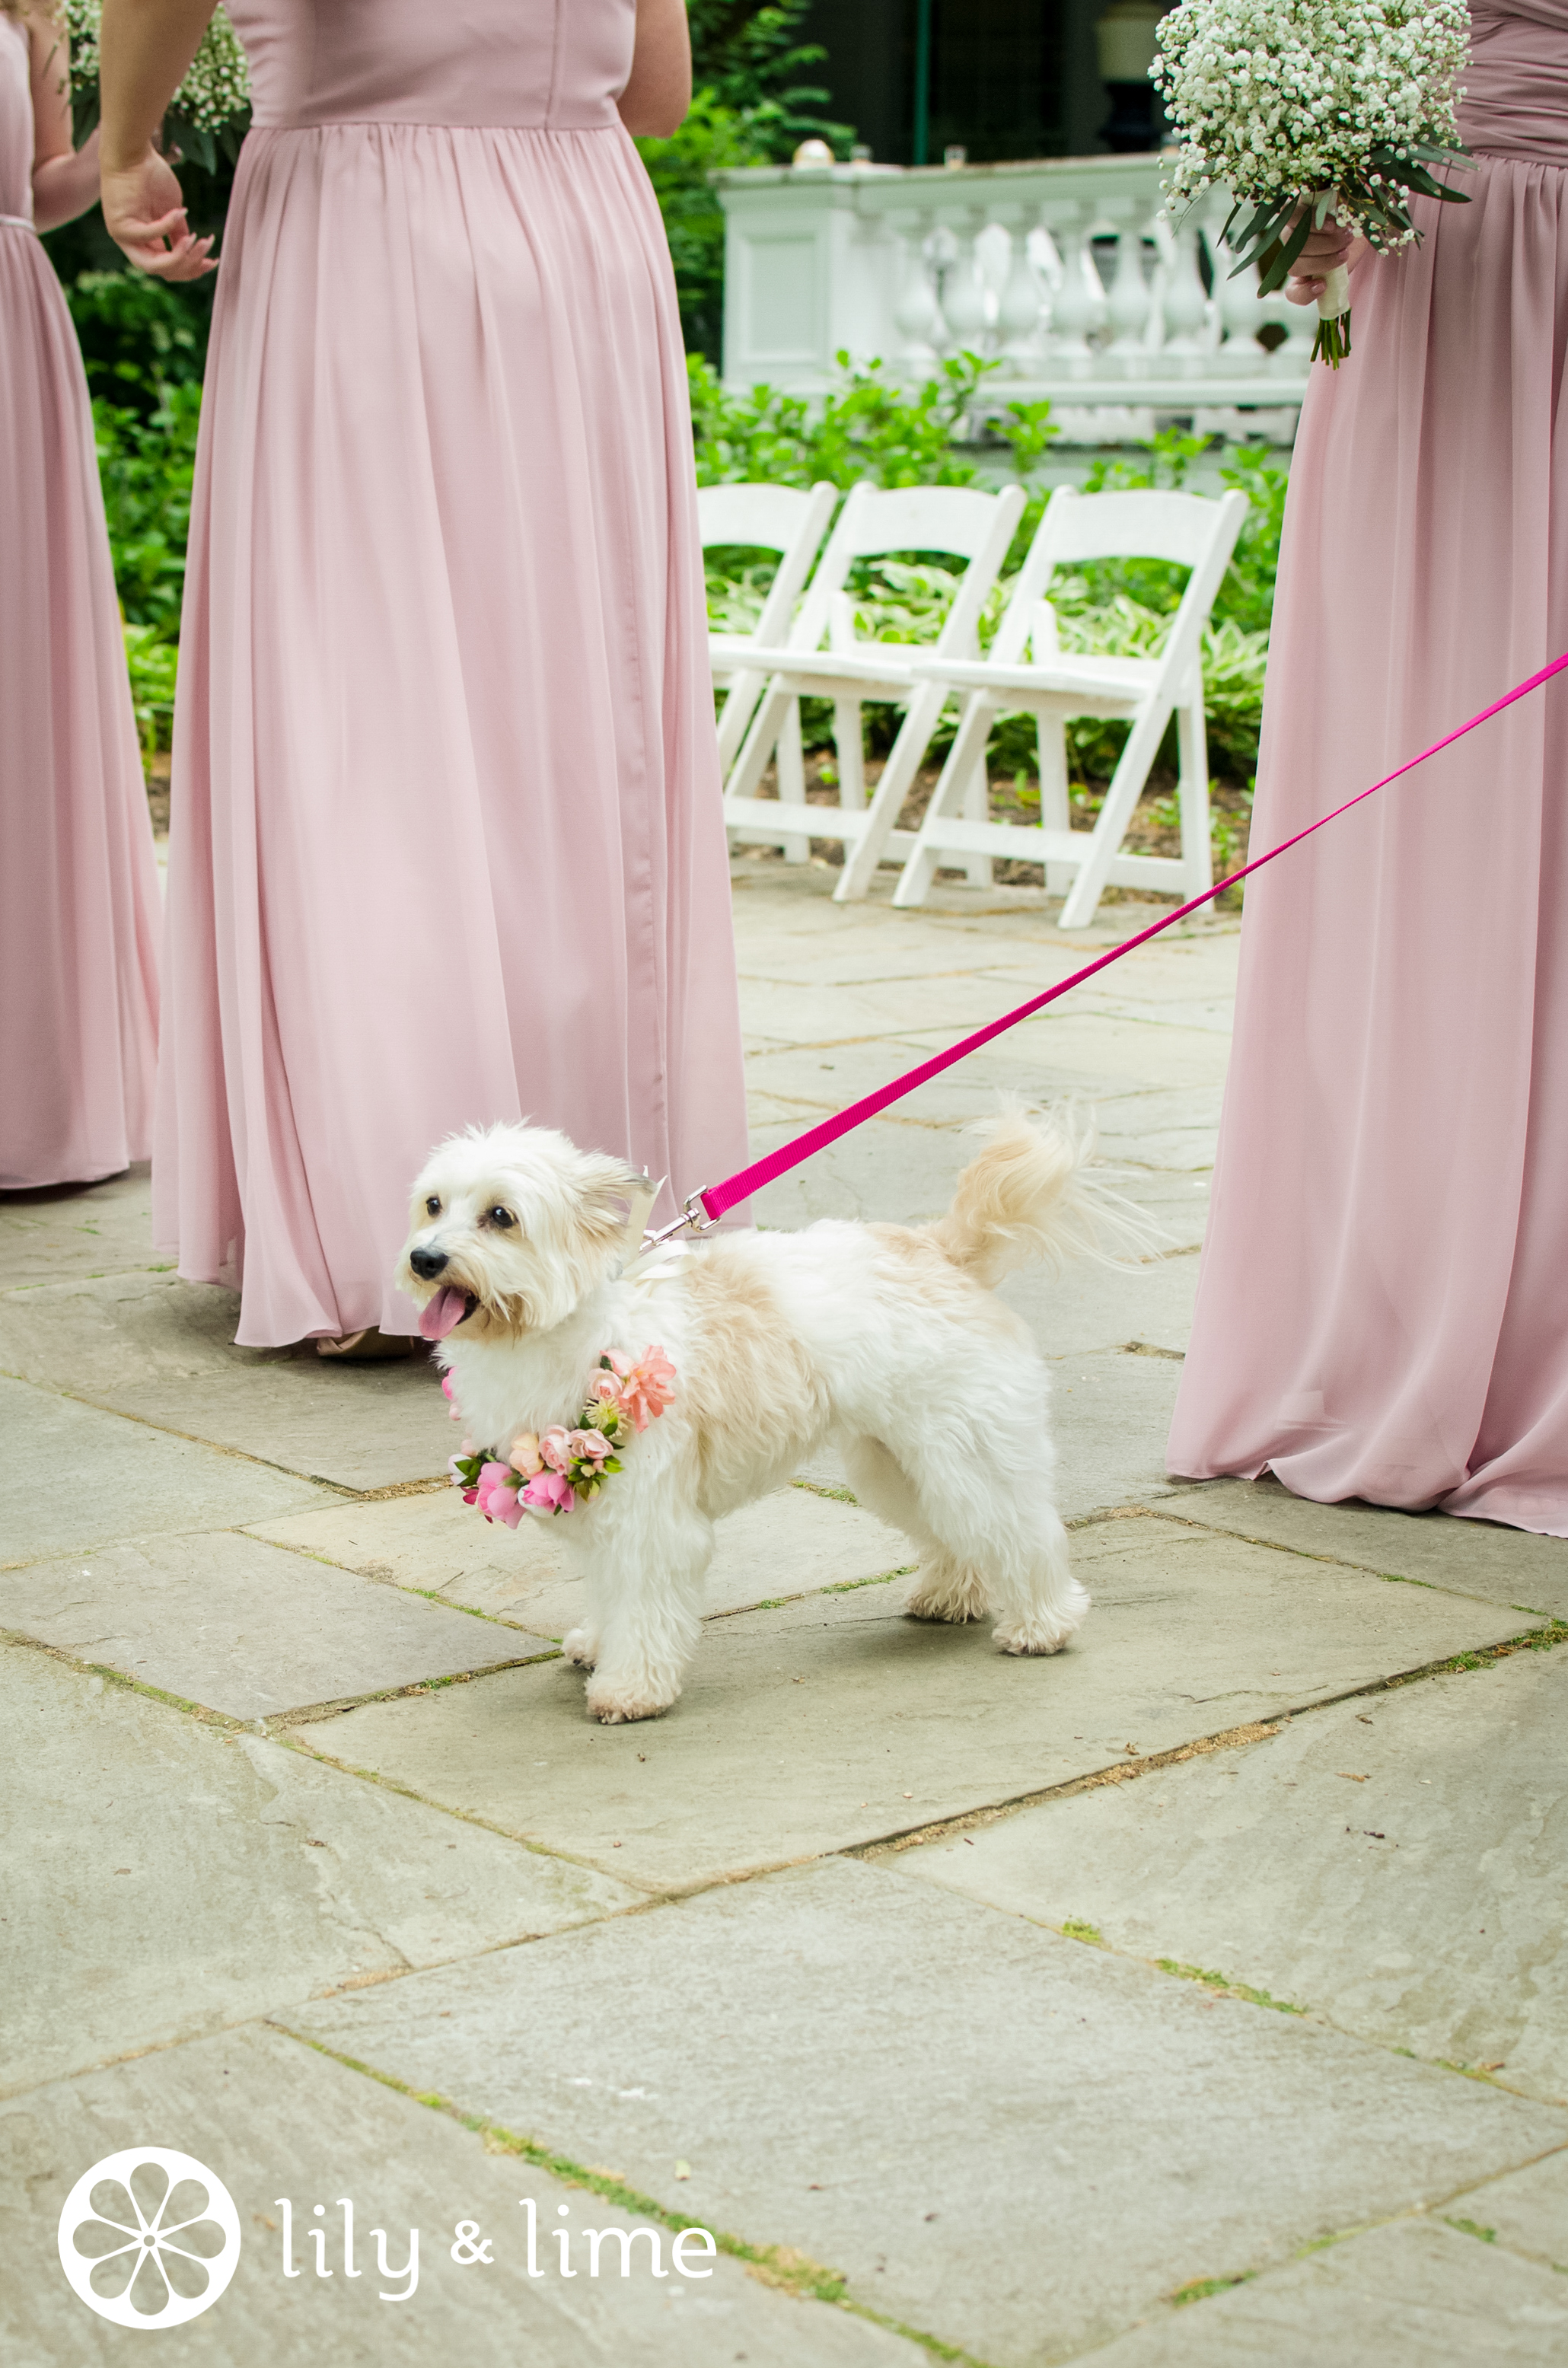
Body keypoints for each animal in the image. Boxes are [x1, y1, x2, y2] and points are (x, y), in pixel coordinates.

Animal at [403, 1098, 1141, 1733]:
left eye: (502, 1215)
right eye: (433, 1204)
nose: (423, 1257)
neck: (565, 1329)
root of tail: (941, 1248)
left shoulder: (650, 1518)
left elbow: (642, 1604)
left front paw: (631, 1687)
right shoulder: (605, 1506)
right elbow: (610, 1593)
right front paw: (599, 1644)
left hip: (967, 1451)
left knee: (1020, 1530)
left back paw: (1044, 1623)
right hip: (899, 1460)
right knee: (957, 1531)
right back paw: (952, 1594)